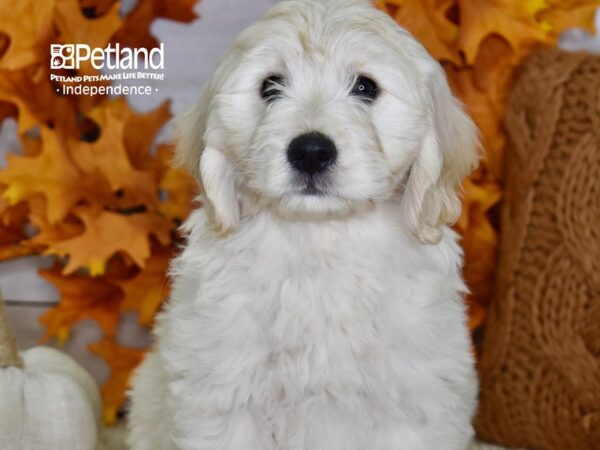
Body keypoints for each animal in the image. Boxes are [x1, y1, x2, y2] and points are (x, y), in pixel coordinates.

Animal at [129, 0, 480, 448]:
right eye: (270, 86)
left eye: (365, 87)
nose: (311, 152)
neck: (319, 237)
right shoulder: (225, 390)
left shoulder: (412, 399)